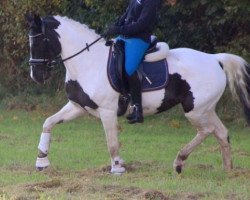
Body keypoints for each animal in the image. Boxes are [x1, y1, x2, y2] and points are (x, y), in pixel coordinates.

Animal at [25, 14, 250, 174]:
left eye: (40, 41)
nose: (36, 75)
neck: (88, 62)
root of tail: (215, 59)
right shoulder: (77, 107)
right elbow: (48, 122)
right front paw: (42, 161)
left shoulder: (107, 111)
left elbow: (112, 142)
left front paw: (117, 167)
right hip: (206, 109)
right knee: (221, 132)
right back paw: (227, 170)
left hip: (195, 110)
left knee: (206, 131)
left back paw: (179, 161)